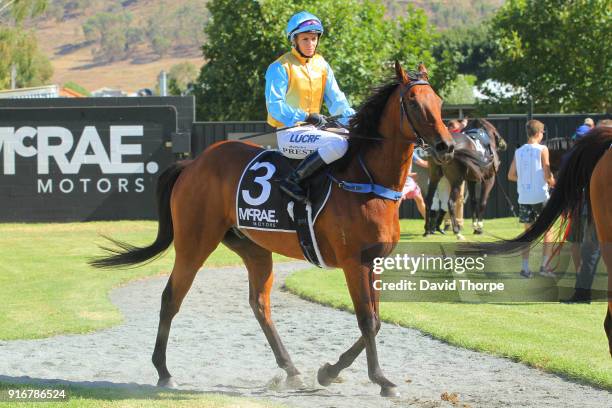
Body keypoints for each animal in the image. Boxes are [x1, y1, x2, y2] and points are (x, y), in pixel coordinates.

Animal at [89, 62, 454, 396]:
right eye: (414, 102)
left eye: (438, 101)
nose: (445, 146)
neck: (366, 179)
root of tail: (193, 163)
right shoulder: (354, 262)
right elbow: (367, 319)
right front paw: (380, 379)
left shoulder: (374, 261)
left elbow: (375, 321)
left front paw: (329, 371)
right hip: (195, 244)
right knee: (171, 297)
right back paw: (164, 371)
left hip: (253, 248)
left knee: (259, 304)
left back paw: (291, 370)